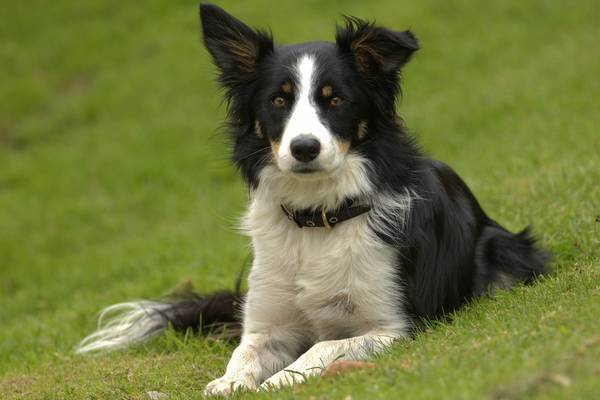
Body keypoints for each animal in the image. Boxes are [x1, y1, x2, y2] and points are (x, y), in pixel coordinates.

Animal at [76, 3, 548, 396]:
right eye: (279, 99)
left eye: (335, 99)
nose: (304, 148)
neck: (318, 217)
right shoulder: (268, 322)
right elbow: (244, 353)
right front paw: (229, 382)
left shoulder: (391, 326)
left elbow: (321, 349)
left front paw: (277, 382)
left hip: (504, 249)